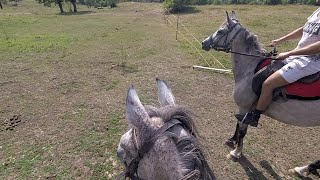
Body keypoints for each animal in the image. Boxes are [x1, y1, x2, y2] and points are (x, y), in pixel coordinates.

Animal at [202, 11, 320, 179]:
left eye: (220, 31)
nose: (204, 43)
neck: (250, 69)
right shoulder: (243, 109)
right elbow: (238, 124)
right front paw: (232, 140)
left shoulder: (245, 107)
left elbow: (243, 129)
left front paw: (236, 152)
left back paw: (303, 169)